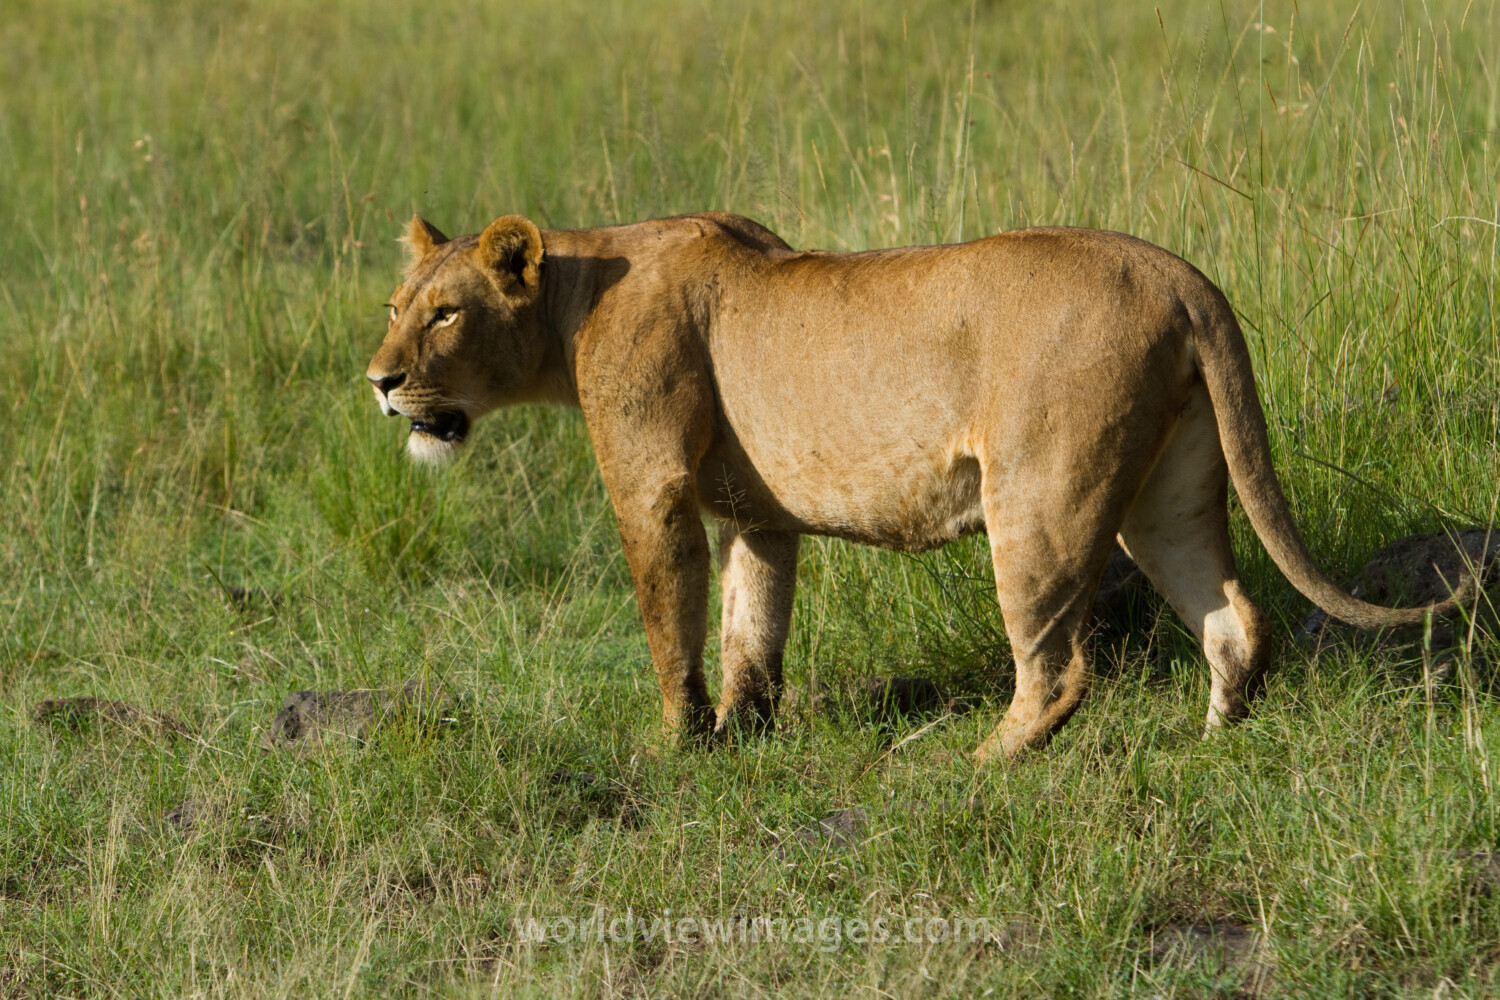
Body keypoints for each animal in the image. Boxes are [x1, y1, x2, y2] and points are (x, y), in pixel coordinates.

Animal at [367, 211, 1468, 762]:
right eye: (394, 307)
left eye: (445, 315)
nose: (378, 381)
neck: (574, 296)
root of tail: (1178, 274)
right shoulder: (758, 517)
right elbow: (750, 630)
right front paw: (743, 741)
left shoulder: (654, 486)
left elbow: (671, 623)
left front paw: (676, 749)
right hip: (1171, 490)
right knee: (1236, 616)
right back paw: (1211, 746)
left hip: (1042, 497)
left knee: (1061, 667)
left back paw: (977, 767)